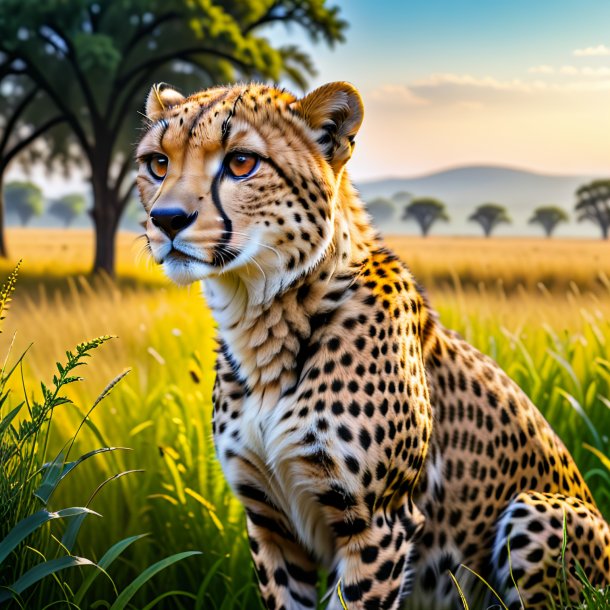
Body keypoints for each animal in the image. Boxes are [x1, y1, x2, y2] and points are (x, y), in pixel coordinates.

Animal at [138, 82, 608, 608]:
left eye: (241, 162)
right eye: (158, 163)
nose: (166, 219)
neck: (264, 320)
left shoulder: (380, 522)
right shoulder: (269, 522)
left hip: (539, 508)